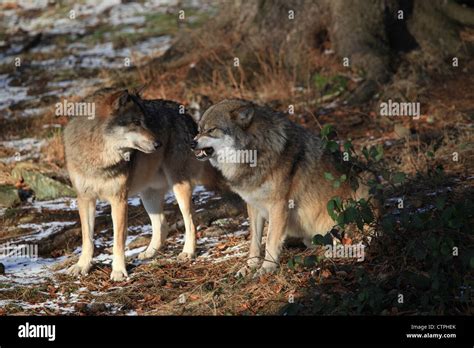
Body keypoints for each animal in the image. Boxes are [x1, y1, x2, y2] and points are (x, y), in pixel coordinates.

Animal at [63, 88, 218, 282]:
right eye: (136, 122)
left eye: (146, 122)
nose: (158, 143)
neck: (99, 158)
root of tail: (186, 114)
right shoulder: (85, 198)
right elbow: (87, 239)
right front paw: (82, 266)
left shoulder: (119, 199)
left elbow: (118, 240)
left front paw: (118, 271)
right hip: (147, 195)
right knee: (162, 223)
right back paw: (149, 253)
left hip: (178, 186)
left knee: (191, 219)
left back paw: (188, 252)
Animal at [191, 100, 376, 278]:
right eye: (199, 130)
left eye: (211, 130)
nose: (191, 143)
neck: (255, 152)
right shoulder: (253, 206)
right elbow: (255, 242)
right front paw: (249, 267)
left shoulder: (278, 205)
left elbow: (270, 240)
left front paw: (266, 268)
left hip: (364, 185)